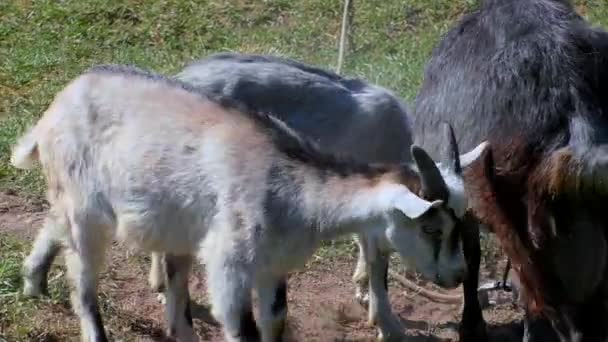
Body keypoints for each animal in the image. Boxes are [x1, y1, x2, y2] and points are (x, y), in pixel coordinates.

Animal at [11, 65, 486, 342]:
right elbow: (245, 329)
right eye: (431, 227)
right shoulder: (230, 262)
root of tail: (59, 104)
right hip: (86, 209)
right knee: (83, 283)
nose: (458, 275)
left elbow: (275, 319)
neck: (287, 183)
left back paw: (33, 282)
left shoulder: (272, 265)